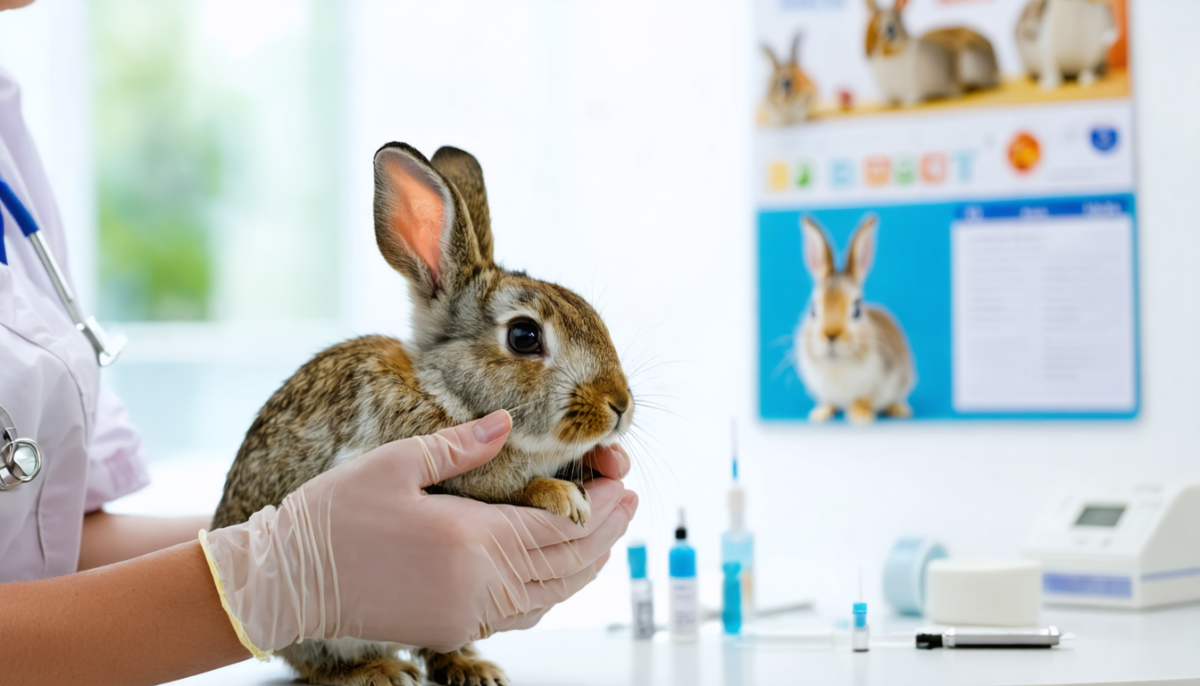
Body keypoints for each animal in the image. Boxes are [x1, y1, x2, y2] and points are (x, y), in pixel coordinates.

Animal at [212, 142, 635, 686]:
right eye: (524, 336)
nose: (619, 405)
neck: (449, 394)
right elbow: (507, 489)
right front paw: (560, 496)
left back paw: (471, 667)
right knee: (318, 663)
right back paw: (379, 670)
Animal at [794, 215, 915, 424]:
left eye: (857, 310)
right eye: (813, 310)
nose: (831, 335)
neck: (837, 363)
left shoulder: (879, 382)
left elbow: (865, 399)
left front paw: (859, 415)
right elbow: (828, 401)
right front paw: (820, 414)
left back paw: (899, 410)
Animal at [865, 0, 999, 107]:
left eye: (899, 18)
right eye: (877, 21)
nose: (890, 30)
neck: (890, 54)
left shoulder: (914, 86)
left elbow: (913, 96)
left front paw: (909, 102)